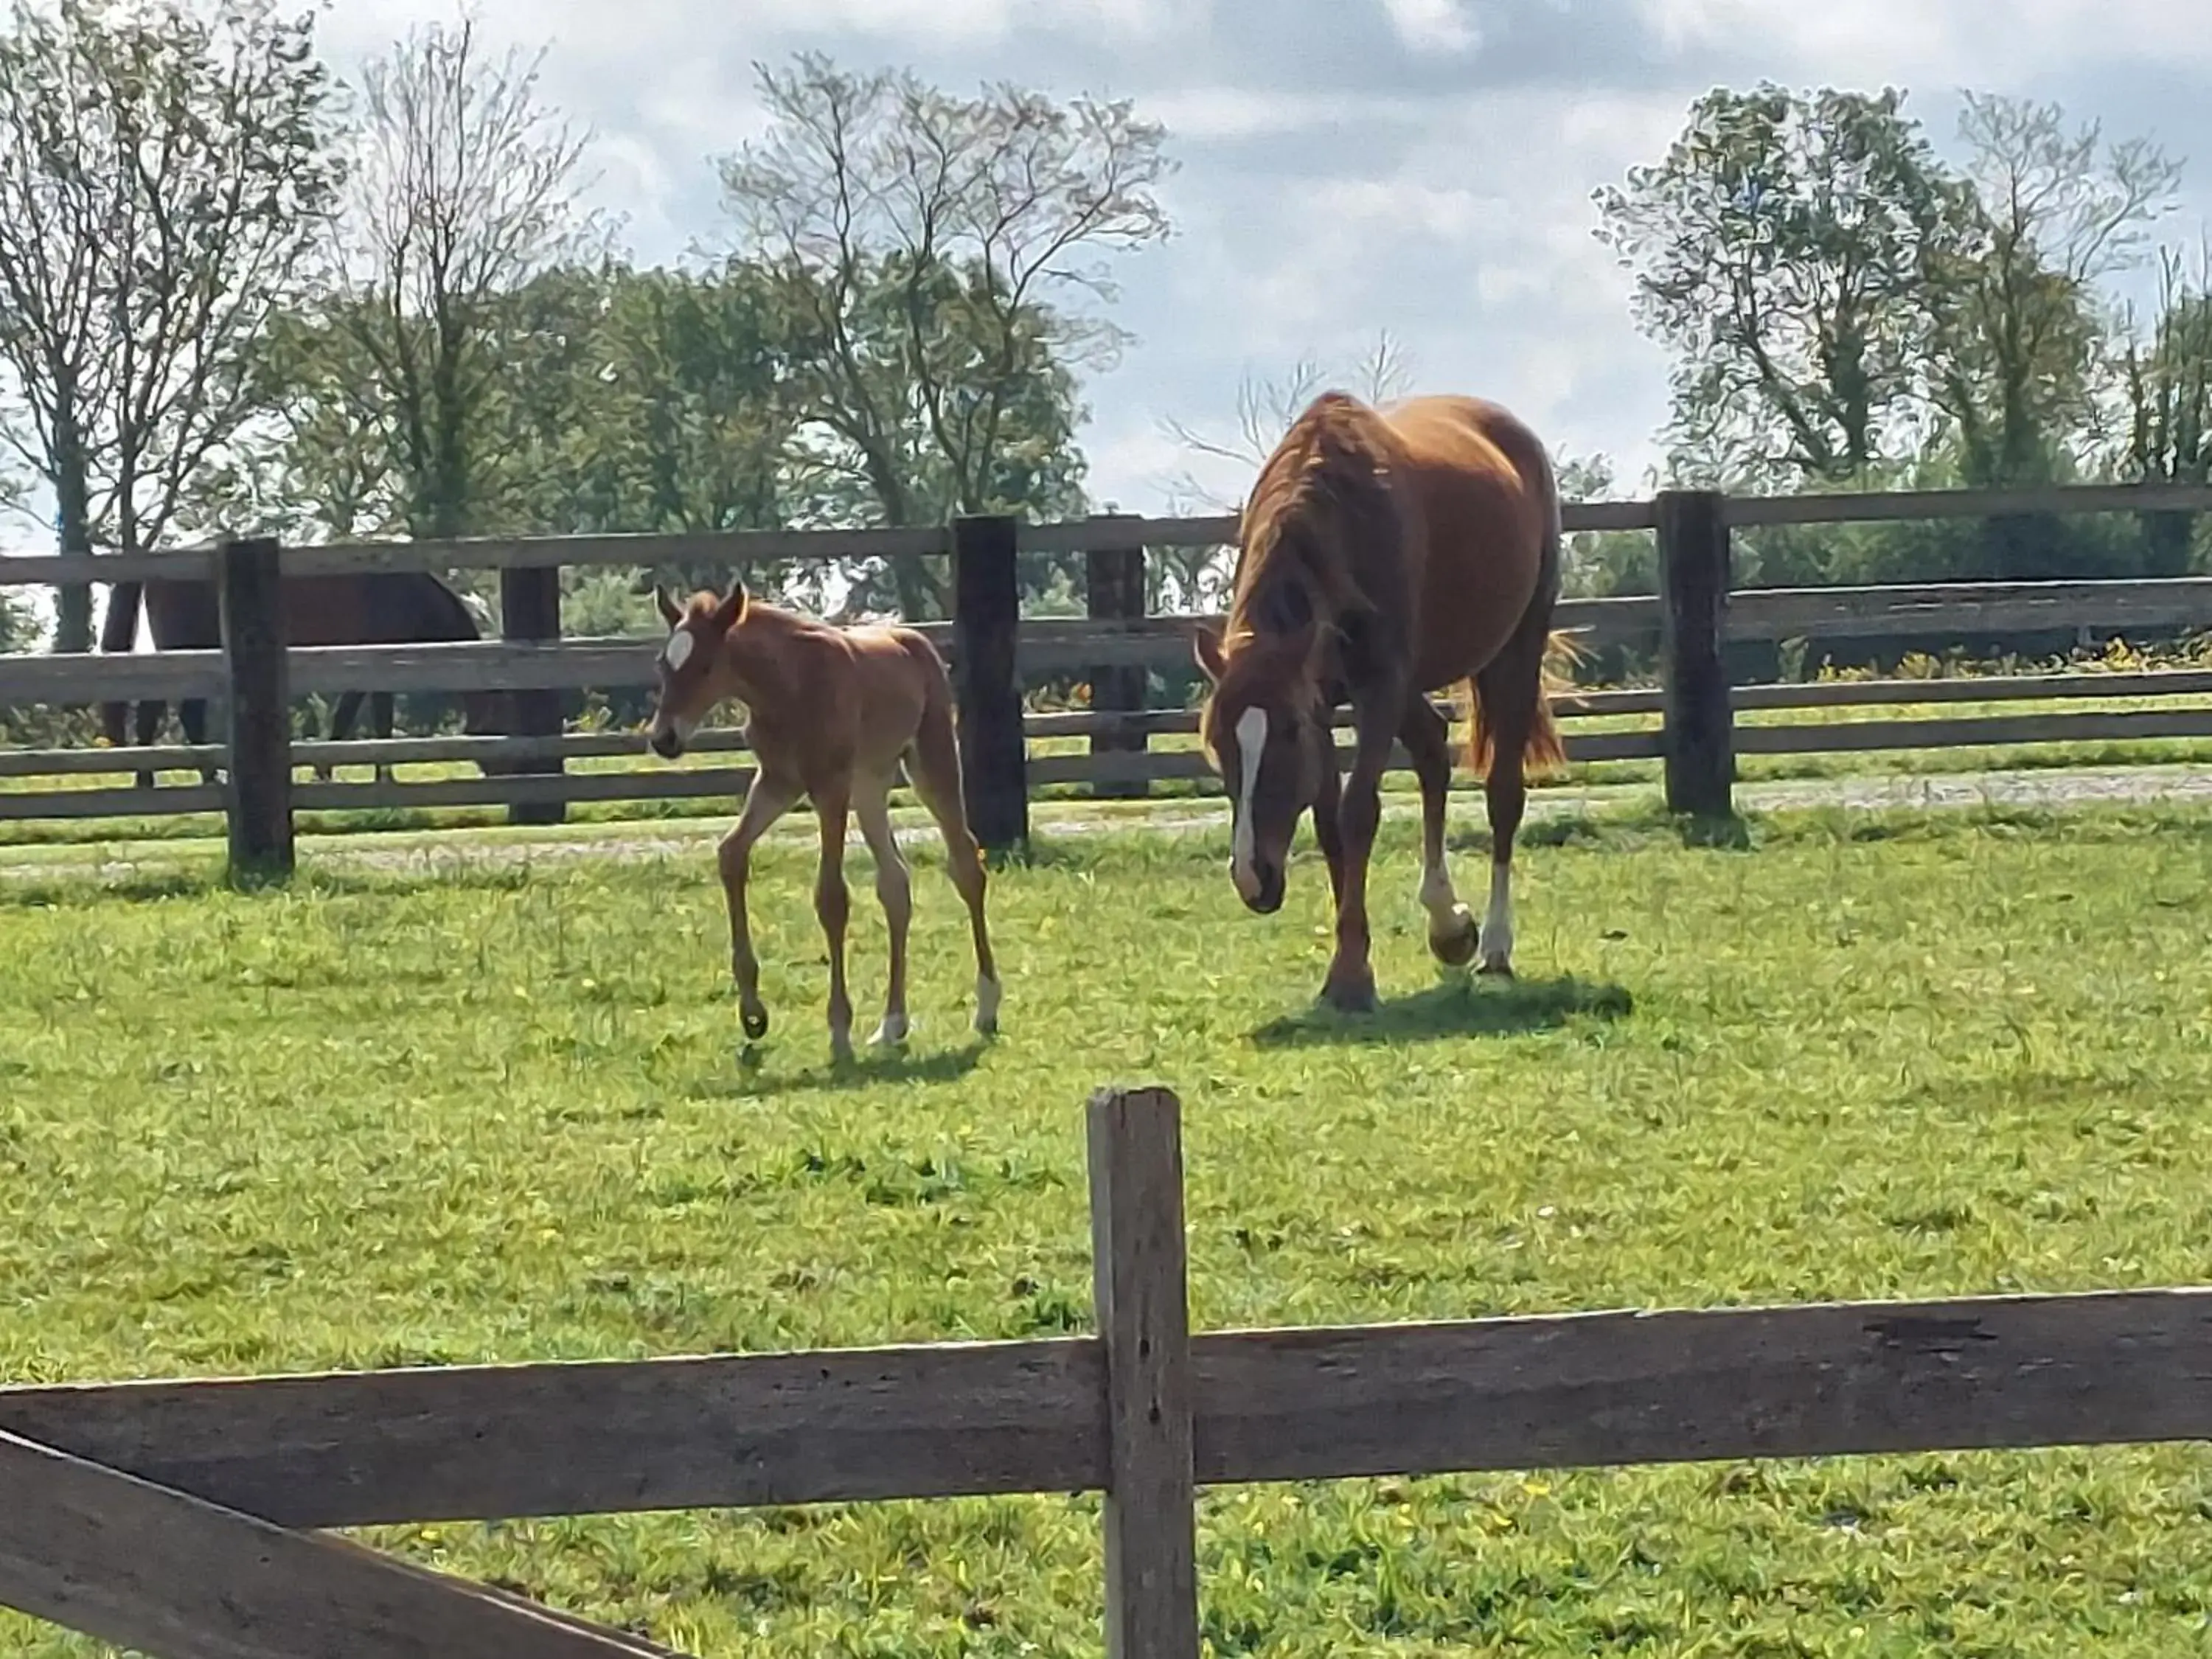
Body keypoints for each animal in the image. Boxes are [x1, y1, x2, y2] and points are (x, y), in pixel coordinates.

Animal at [104, 575, 522, 787]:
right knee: (170, 713)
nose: (514, 774)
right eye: (499, 725)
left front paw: (325, 770)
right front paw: (380, 775)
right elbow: (378, 721)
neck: (409, 595)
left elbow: (345, 717)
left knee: (169, 713)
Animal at [646, 580, 1000, 1057]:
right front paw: (752, 1011)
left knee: (965, 864)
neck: (787, 688)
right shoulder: (777, 782)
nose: (664, 739)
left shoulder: (829, 788)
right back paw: (893, 1023)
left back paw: (986, 1007)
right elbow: (731, 854)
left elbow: (831, 897)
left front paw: (838, 1027)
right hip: (870, 785)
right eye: (664, 665)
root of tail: (914, 640)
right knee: (895, 884)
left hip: (932, 760)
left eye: (705, 666)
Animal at [1194, 394, 1575, 1013]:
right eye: (1217, 744)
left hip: (1517, 648)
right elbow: (1330, 824)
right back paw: (1449, 925)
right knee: (1432, 752)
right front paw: (1353, 960)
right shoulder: (1323, 694)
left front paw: (1351, 975)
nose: (1254, 877)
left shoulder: (1378, 687)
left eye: (1287, 733)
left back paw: (1494, 945)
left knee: (1502, 796)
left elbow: (1357, 814)